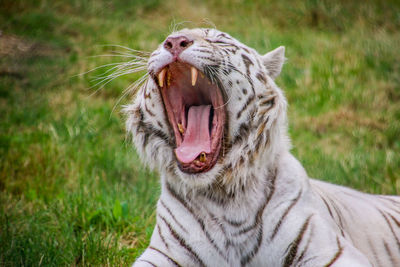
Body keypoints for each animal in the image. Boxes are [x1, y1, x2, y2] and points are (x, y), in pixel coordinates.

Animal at [125, 28, 400, 266]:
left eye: (217, 39)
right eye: (166, 40)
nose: (174, 42)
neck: (224, 196)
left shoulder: (329, 250)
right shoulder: (163, 253)